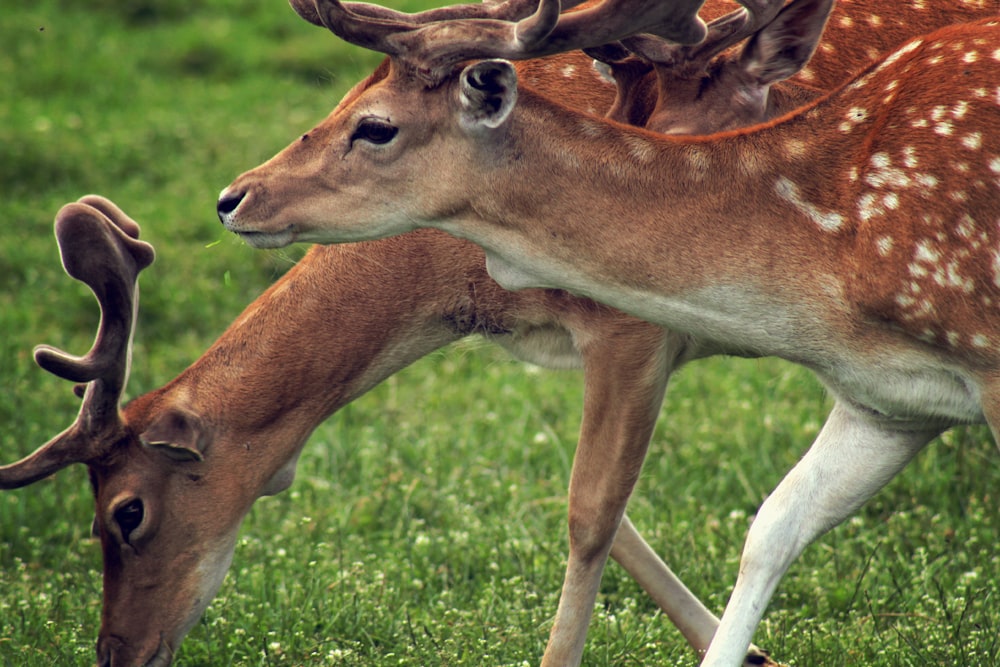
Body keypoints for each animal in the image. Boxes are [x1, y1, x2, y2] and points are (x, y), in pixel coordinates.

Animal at [215, 0, 1000, 664]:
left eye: (374, 124)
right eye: (337, 101)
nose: (233, 196)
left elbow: (594, 511)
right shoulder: (889, 401)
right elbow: (771, 527)